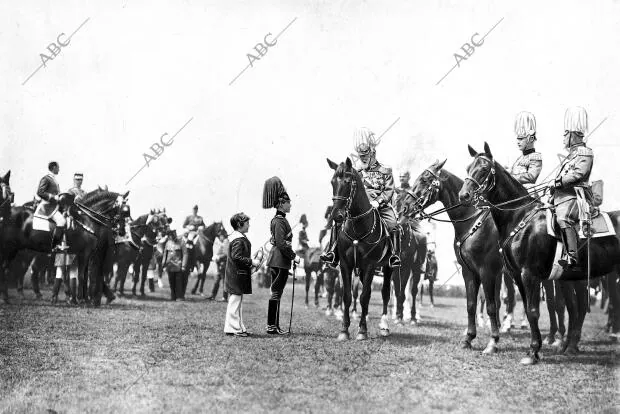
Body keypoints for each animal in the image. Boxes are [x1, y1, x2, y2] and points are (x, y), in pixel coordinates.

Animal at [0, 188, 130, 304]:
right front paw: (81, 299)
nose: (122, 231)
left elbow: (83, 275)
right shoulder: (84, 253)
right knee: (10, 269)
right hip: (12, 249)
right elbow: (81, 276)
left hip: (17, 250)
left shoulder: (83, 254)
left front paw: (84, 299)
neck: (86, 220)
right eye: (124, 210)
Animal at [398, 160, 504, 354]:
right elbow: (471, 304)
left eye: (425, 179)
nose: (405, 207)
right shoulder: (469, 271)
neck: (472, 221)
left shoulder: (486, 271)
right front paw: (468, 338)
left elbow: (490, 305)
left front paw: (492, 342)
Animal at [460, 144, 620, 364]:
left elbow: (532, 311)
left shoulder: (526, 274)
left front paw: (532, 351)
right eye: (468, 167)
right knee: (576, 308)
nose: (464, 195)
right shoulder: (516, 275)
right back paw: (569, 346)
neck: (520, 218)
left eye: (484, 169)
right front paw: (533, 350)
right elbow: (528, 310)